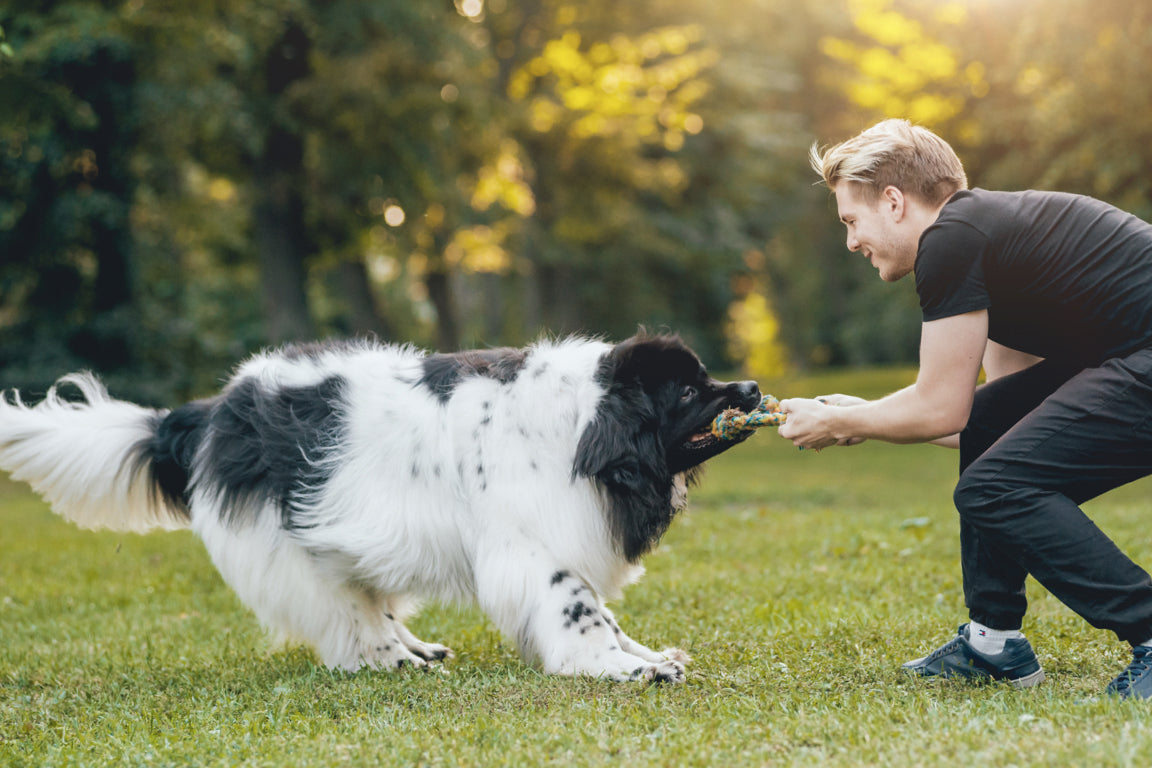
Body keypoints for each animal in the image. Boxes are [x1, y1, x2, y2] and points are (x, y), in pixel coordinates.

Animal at [0, 333, 760, 681]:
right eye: (688, 391)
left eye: (706, 377)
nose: (752, 388)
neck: (585, 422)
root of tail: (212, 413)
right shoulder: (531, 547)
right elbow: (580, 609)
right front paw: (624, 667)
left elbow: (605, 613)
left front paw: (644, 653)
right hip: (292, 546)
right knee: (347, 620)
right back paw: (394, 660)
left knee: (366, 601)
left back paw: (415, 646)